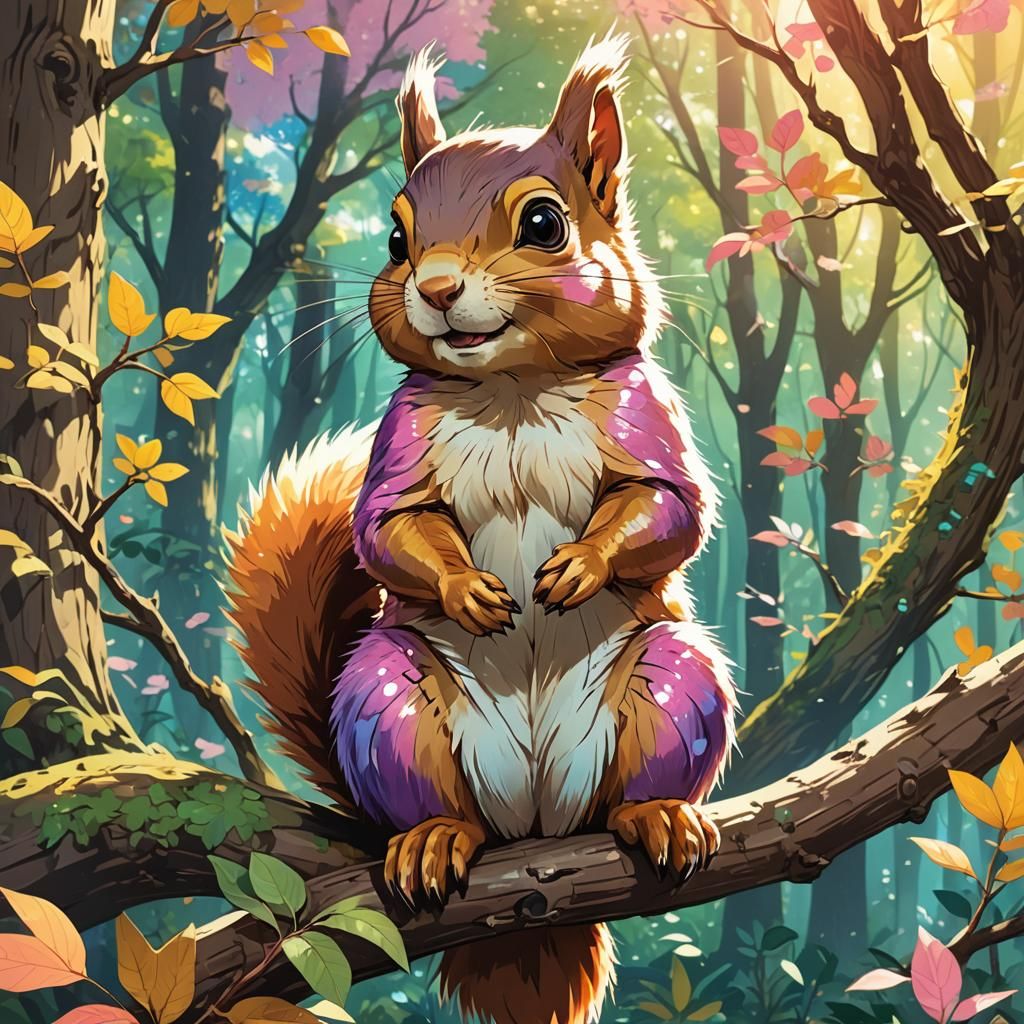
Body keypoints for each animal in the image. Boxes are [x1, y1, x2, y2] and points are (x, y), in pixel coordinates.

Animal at [223, 33, 736, 1024]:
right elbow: (390, 531)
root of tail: (533, 825)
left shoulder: (644, 420)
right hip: (387, 702)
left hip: (672, 684)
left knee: (629, 788)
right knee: (437, 801)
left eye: (544, 224)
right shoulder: (402, 449)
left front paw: (578, 567)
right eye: (396, 238)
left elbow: (668, 509)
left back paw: (655, 814)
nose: (435, 287)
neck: (512, 394)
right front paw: (470, 590)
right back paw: (432, 838)